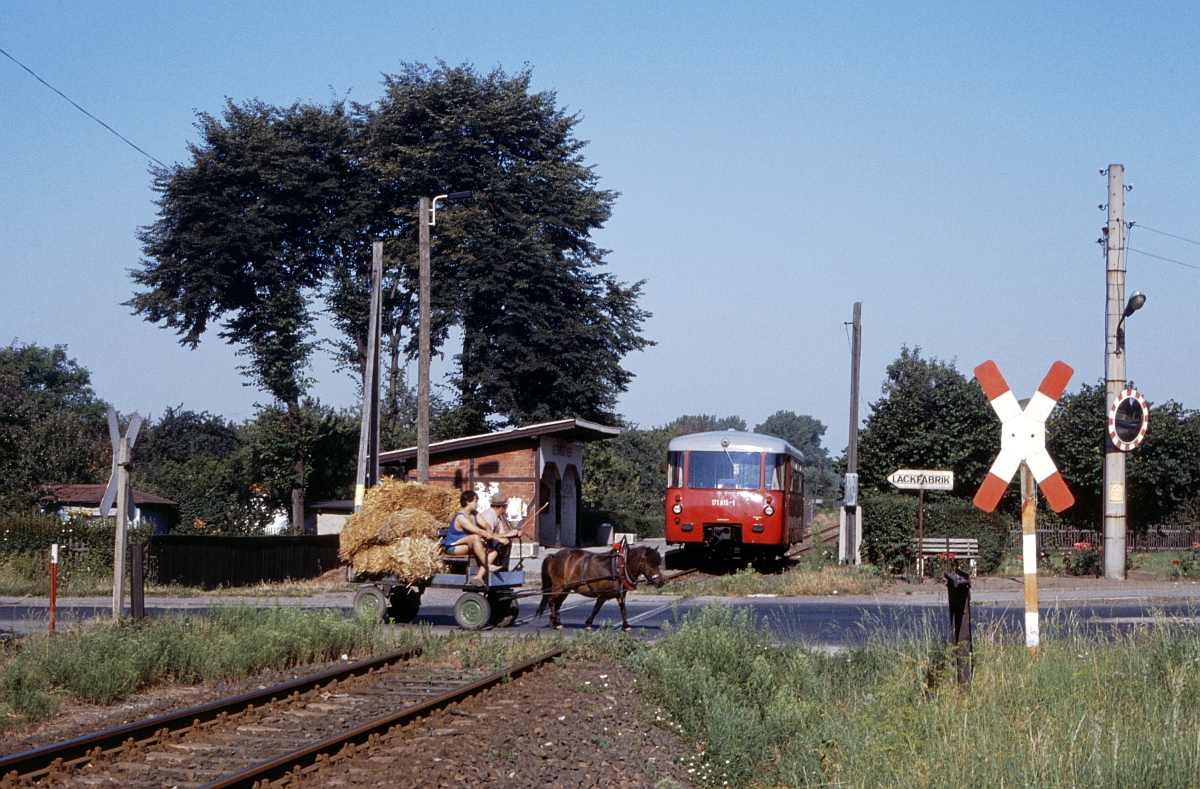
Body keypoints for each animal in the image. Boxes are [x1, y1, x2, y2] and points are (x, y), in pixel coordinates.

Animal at [535, 541, 667, 628]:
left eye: (658, 563)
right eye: (650, 564)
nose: (661, 582)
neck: (619, 567)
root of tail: (553, 556)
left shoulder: (620, 595)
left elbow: (623, 609)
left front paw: (626, 625)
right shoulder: (603, 595)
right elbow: (596, 608)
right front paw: (589, 623)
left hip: (566, 588)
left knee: (557, 603)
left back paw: (557, 622)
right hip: (559, 586)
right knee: (550, 600)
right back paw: (553, 620)